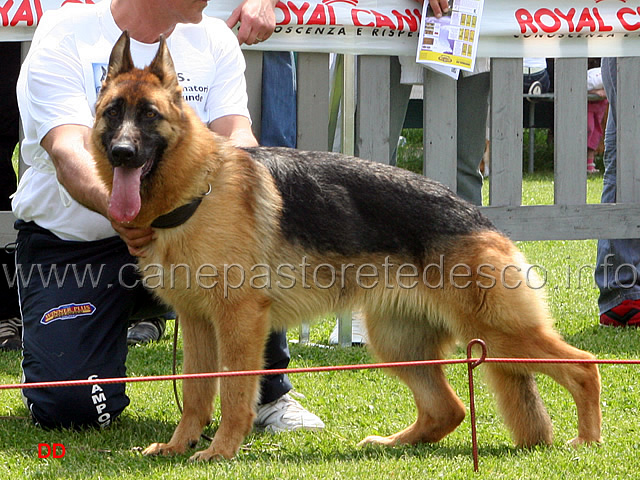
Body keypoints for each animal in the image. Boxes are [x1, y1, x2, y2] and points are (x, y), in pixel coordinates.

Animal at [90, 31, 600, 460]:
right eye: (113, 112)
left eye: (150, 115)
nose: (122, 154)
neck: (198, 187)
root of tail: (478, 216)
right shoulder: (198, 323)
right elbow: (196, 393)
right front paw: (179, 446)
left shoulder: (239, 322)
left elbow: (234, 393)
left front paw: (221, 451)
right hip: (399, 342)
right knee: (448, 409)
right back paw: (391, 443)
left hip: (498, 331)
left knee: (584, 366)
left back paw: (587, 440)